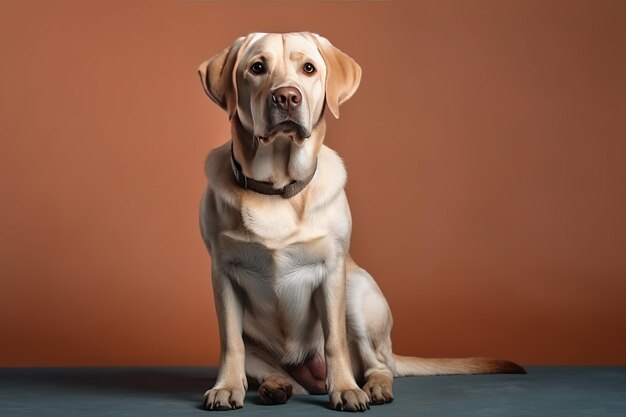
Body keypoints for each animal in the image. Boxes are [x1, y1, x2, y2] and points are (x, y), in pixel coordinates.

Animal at [197, 31, 524, 410]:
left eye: (308, 68)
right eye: (257, 68)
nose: (287, 96)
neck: (277, 189)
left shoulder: (332, 271)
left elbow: (334, 340)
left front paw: (345, 389)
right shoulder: (223, 274)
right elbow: (231, 343)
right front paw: (226, 387)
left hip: (356, 292)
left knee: (377, 365)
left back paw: (373, 387)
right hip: (264, 347)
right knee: (272, 369)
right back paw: (276, 386)